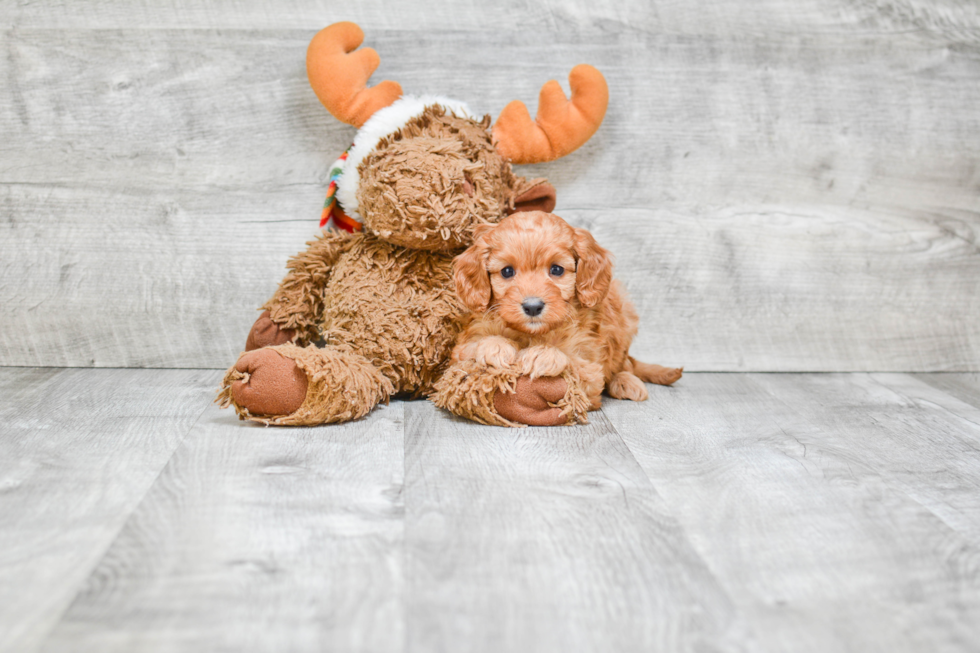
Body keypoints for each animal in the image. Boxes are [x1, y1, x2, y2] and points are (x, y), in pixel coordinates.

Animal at [452, 209, 680, 412]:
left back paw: (626, 381)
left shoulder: (590, 368)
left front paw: (544, 354)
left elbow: (574, 363)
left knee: (625, 363)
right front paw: (495, 346)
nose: (532, 306)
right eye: (507, 271)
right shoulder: (459, 352)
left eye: (557, 270)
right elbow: (472, 348)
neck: (531, 333)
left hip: (623, 310)